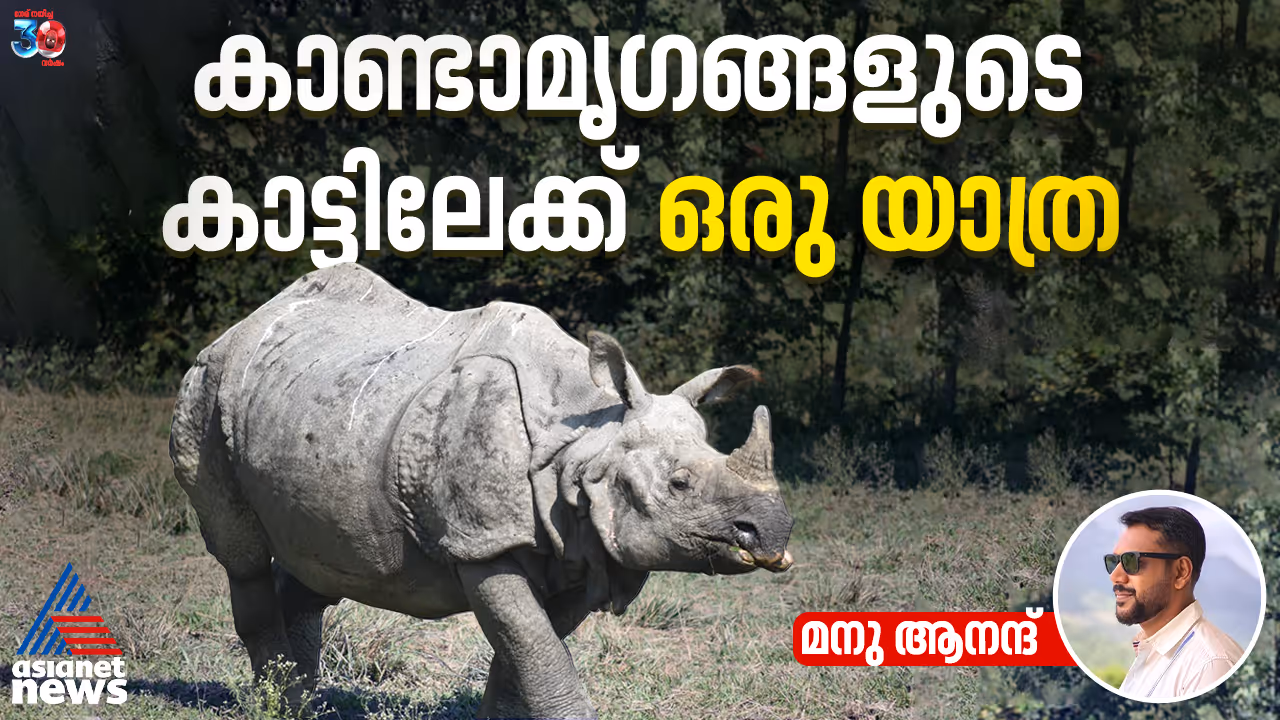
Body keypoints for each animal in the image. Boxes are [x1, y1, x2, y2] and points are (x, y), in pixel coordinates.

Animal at [168, 262, 794, 719]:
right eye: (678, 484)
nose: (774, 529)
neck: (582, 442)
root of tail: (247, 323)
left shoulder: (580, 549)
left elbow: (527, 654)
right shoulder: (483, 542)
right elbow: (536, 649)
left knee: (324, 564)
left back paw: (298, 704)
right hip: (206, 386)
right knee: (243, 554)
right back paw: (281, 705)